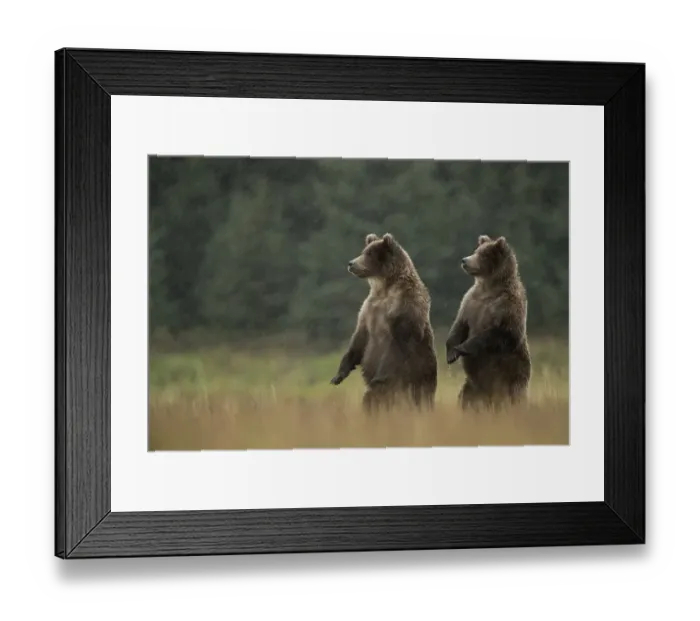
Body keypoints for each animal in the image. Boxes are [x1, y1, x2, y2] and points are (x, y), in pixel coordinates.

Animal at [330, 233, 438, 413]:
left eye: (369, 254)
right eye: (364, 251)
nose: (351, 263)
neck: (384, 288)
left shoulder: (404, 309)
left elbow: (396, 345)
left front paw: (378, 377)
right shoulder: (369, 310)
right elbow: (359, 339)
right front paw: (338, 375)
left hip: (418, 377)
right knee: (370, 399)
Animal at [445, 234, 531, 409]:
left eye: (483, 254)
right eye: (476, 250)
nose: (464, 260)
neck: (488, 288)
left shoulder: (508, 305)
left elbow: (500, 332)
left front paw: (461, 348)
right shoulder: (471, 302)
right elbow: (459, 325)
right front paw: (451, 353)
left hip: (513, 380)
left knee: (514, 400)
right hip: (472, 386)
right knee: (466, 399)